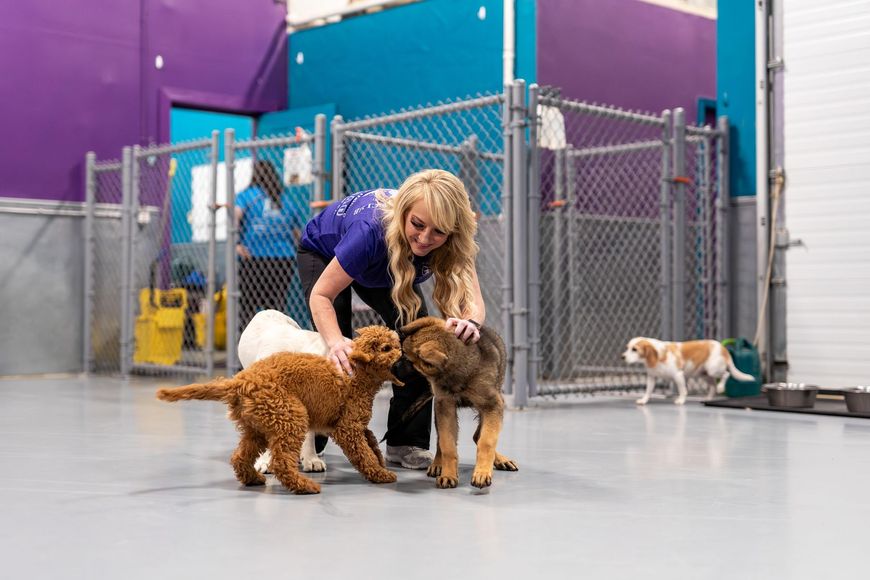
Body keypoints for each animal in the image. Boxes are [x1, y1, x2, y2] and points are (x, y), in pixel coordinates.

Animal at [400, 318, 516, 490]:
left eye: (407, 360)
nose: (389, 366)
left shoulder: (493, 405)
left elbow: (487, 441)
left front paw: (482, 473)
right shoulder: (445, 406)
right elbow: (447, 444)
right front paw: (448, 474)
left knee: (478, 436)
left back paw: (500, 460)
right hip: (440, 409)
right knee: (442, 440)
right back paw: (438, 464)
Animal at [620, 338, 756, 406]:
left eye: (634, 349)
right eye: (627, 348)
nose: (622, 357)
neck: (659, 355)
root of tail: (723, 348)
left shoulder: (678, 375)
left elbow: (683, 390)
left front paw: (681, 400)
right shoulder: (651, 377)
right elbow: (648, 391)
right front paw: (644, 400)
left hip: (713, 370)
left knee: (726, 374)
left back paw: (721, 387)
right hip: (704, 374)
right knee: (712, 385)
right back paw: (709, 397)